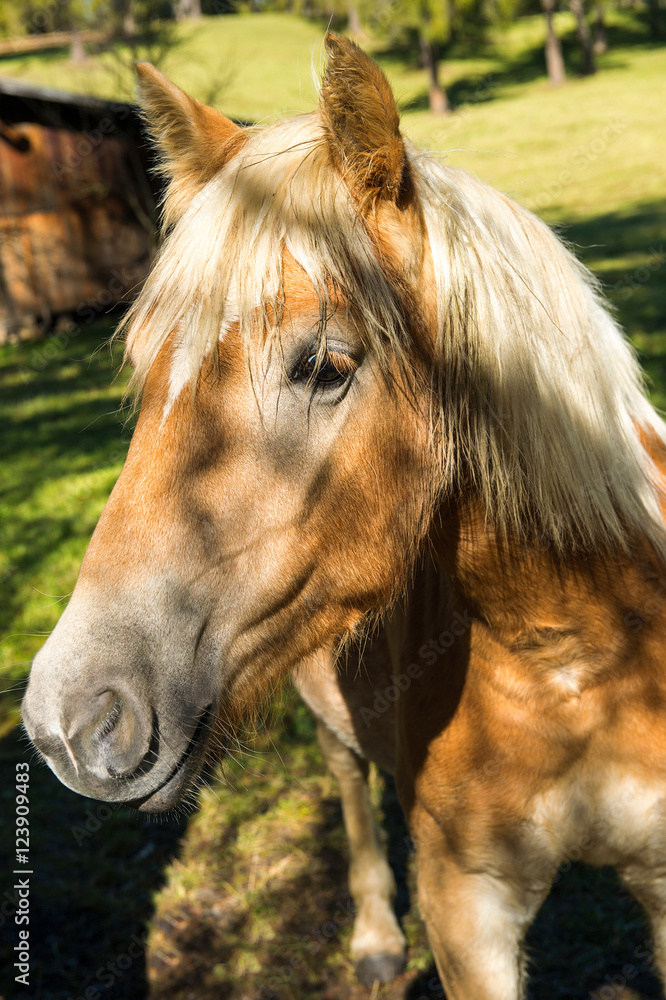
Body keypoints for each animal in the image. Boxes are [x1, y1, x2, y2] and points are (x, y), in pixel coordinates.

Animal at [22, 33, 666, 999]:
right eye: (144, 365)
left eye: (325, 366)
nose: (68, 722)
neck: (585, 660)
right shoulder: (466, 907)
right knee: (349, 783)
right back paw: (371, 937)